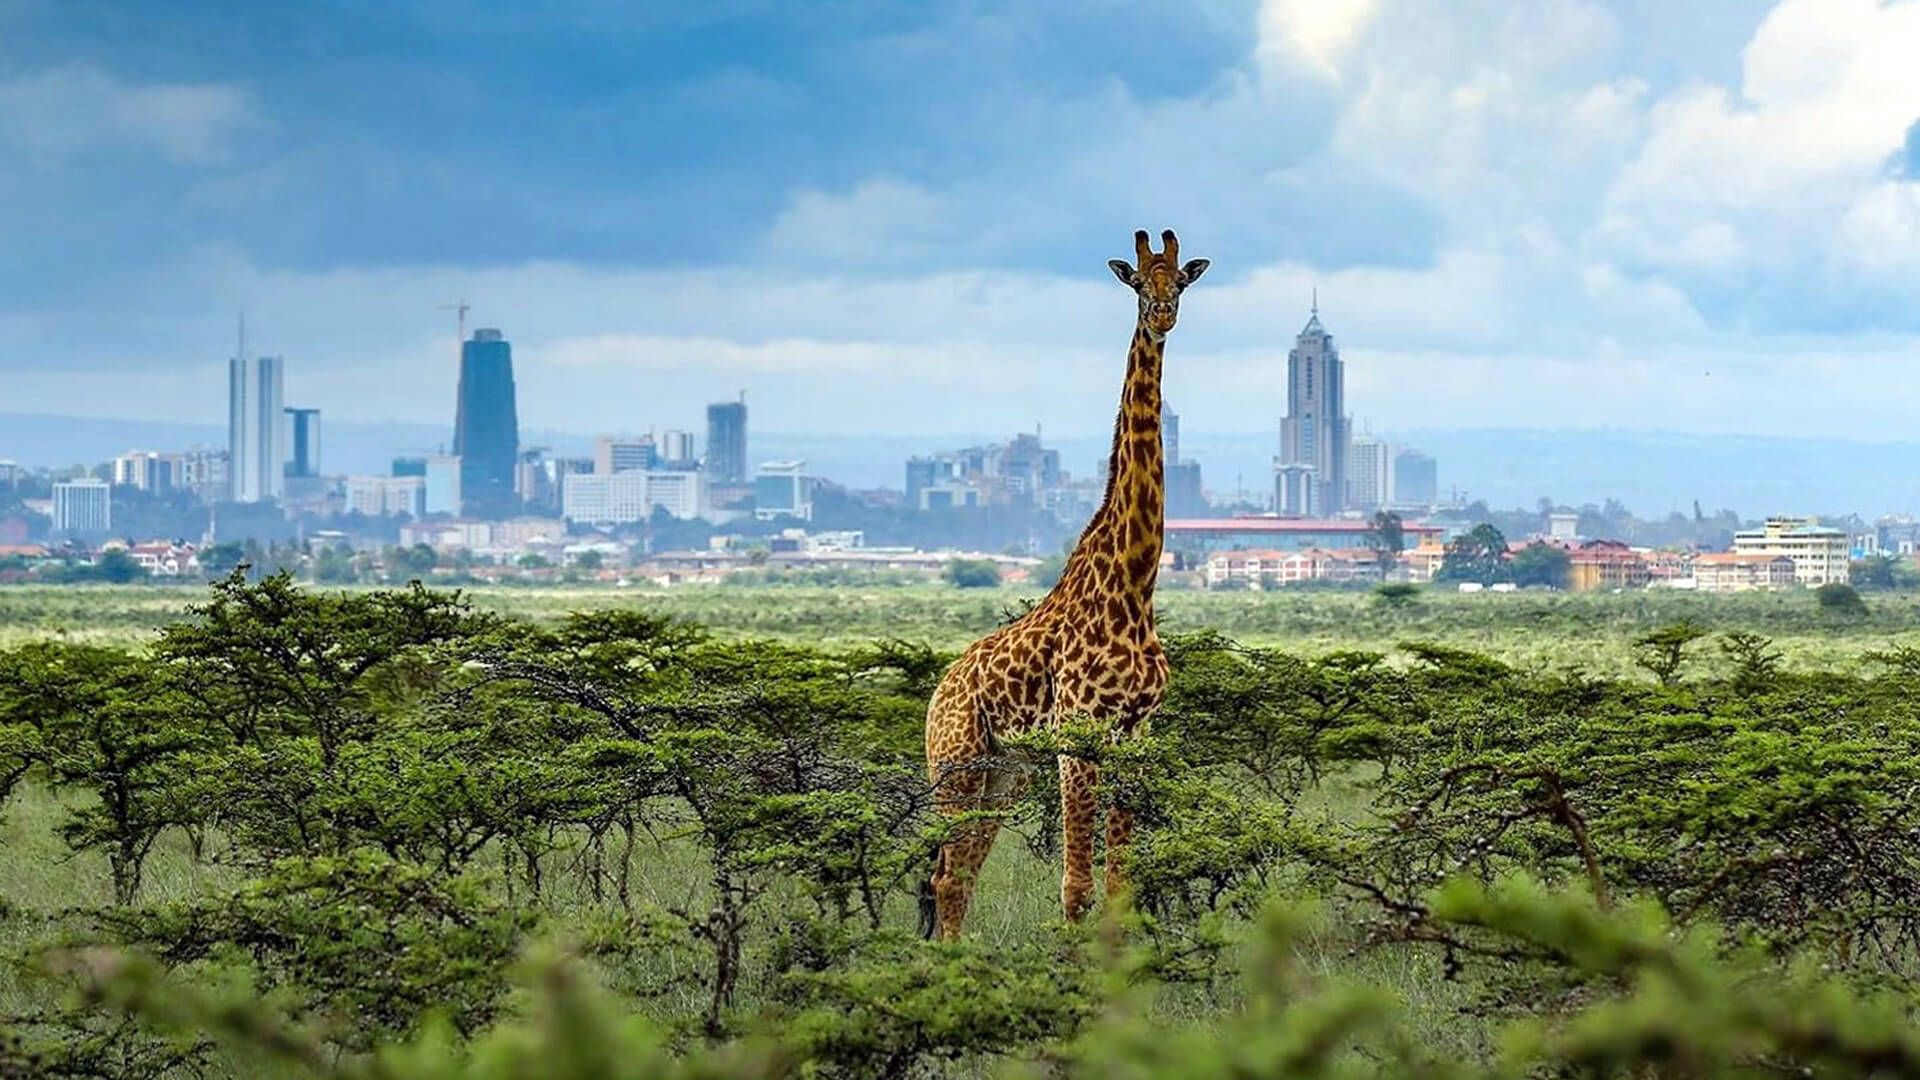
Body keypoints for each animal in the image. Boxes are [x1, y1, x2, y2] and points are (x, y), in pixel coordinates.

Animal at [921, 224, 1205, 933]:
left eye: (1181, 281)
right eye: (1139, 282)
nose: (1163, 315)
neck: (1134, 583)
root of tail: (938, 692)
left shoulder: (1135, 735)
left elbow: (1119, 887)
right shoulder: (1078, 737)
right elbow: (1075, 891)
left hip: (1004, 771)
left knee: (959, 877)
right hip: (957, 764)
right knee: (945, 876)